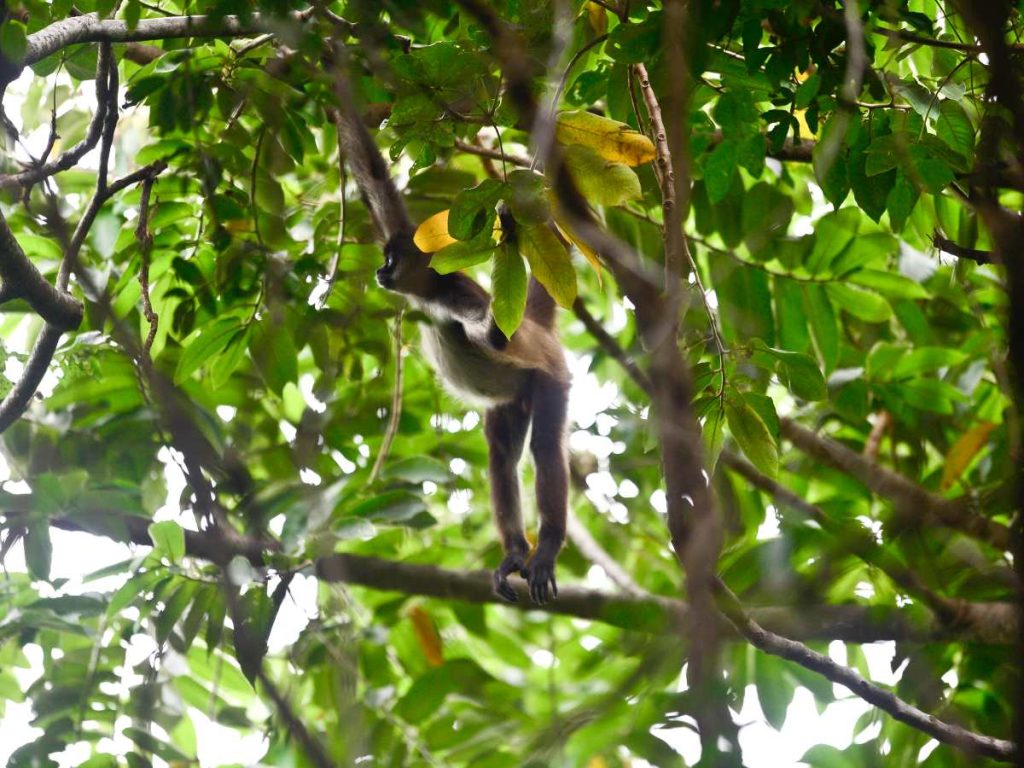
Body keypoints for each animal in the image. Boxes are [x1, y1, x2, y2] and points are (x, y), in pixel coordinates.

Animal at [329, 60, 570, 605]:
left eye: (390, 261)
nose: (380, 273)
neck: (431, 295)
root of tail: (539, 330)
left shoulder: (458, 293)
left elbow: (495, 336)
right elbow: (373, 174)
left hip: (550, 378)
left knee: (545, 449)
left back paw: (544, 549)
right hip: (514, 396)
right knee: (502, 455)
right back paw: (515, 554)